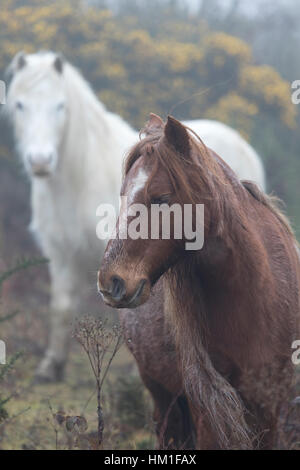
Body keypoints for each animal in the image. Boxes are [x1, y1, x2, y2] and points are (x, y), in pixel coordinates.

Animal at [6, 52, 264, 382]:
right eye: (19, 105)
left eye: (60, 105)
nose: (40, 161)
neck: (78, 177)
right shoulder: (62, 253)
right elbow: (61, 307)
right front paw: (51, 366)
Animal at [98, 114, 298, 452]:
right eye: (123, 196)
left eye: (162, 199)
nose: (110, 280)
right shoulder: (207, 410)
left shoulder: (270, 405)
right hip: (164, 398)